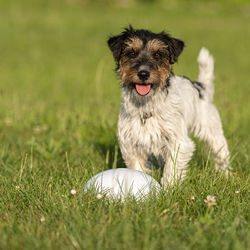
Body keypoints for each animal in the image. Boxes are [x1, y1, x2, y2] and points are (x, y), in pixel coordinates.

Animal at [106, 26, 231, 186]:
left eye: (158, 54)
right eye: (131, 52)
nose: (143, 73)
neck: (146, 107)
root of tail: (199, 86)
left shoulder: (177, 142)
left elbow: (172, 168)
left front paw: (168, 189)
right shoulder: (130, 143)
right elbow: (137, 166)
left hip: (212, 130)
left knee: (221, 153)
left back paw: (225, 175)